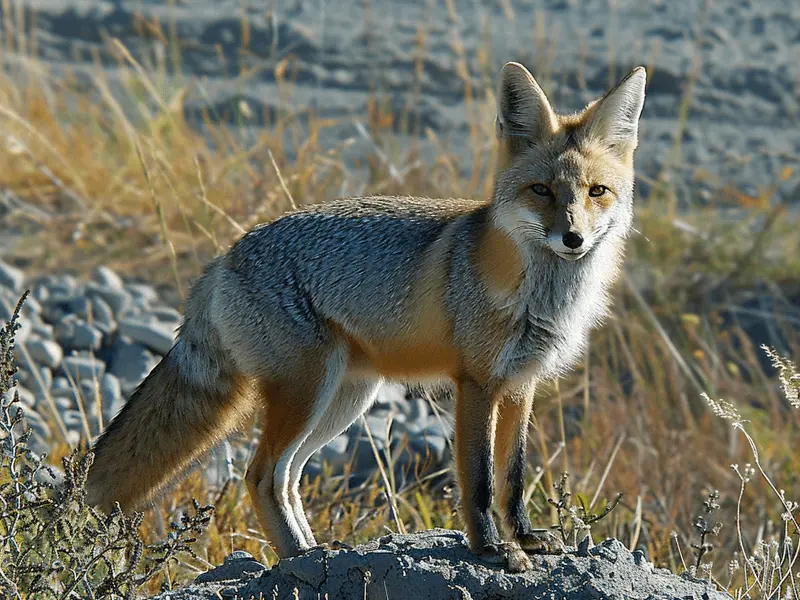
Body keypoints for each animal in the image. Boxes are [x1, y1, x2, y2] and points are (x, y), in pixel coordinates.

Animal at [85, 61, 646, 572]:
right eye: (542, 191)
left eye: (596, 192)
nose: (572, 238)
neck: (541, 297)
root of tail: (223, 259)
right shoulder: (477, 383)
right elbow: (480, 483)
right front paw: (491, 549)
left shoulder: (521, 385)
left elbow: (512, 477)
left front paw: (526, 538)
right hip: (309, 392)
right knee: (260, 474)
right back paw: (297, 559)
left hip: (344, 399)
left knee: (286, 476)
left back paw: (312, 551)